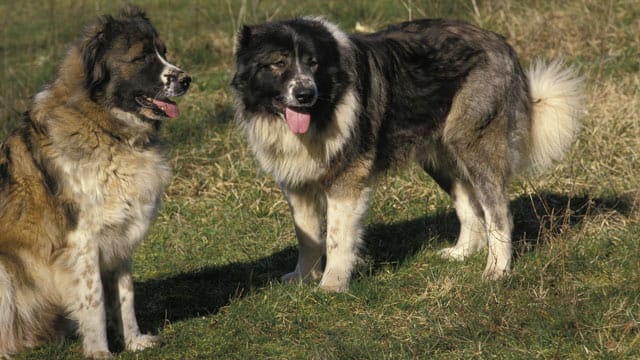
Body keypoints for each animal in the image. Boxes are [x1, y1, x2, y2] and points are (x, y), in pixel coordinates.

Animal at [231, 17, 584, 292]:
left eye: (313, 63)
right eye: (278, 63)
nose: (305, 93)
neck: (326, 106)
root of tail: (501, 44)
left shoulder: (347, 182)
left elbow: (335, 237)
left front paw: (332, 285)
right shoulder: (297, 184)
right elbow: (307, 237)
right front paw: (303, 278)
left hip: (473, 145)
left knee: (498, 213)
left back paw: (496, 270)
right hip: (440, 156)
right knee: (469, 205)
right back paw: (461, 253)